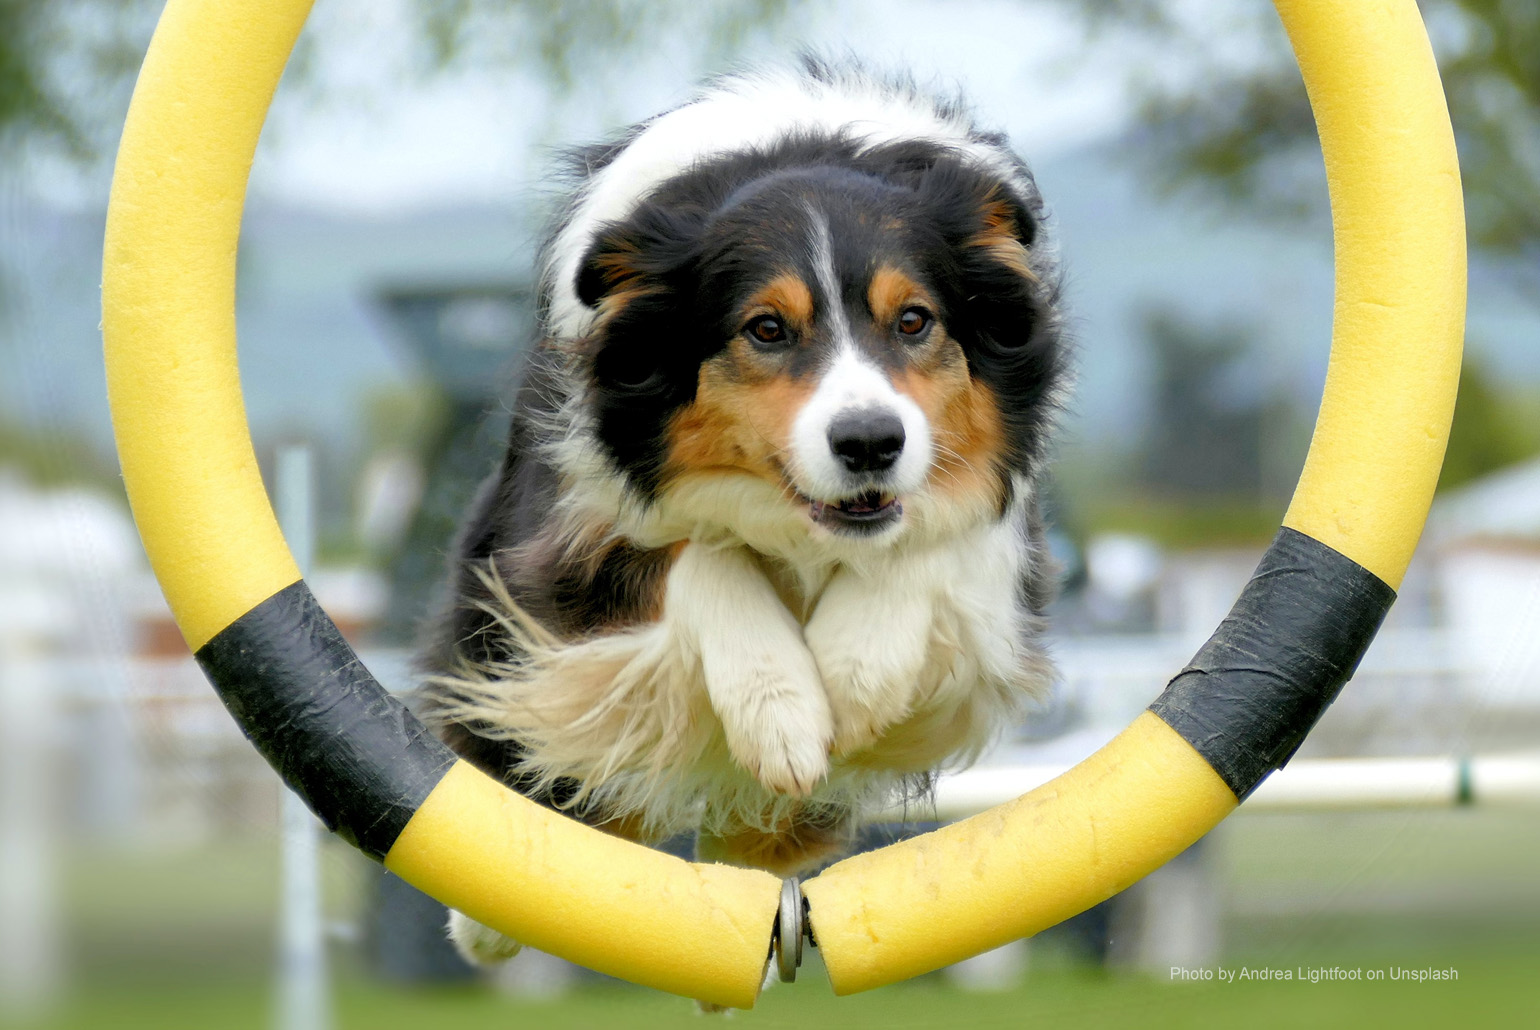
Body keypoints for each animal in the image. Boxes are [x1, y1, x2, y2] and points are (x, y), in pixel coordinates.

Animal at [418, 60, 1071, 966]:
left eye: (915, 321)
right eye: (765, 330)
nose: (870, 443)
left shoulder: (1002, 538)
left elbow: (935, 538)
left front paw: (850, 675)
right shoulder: (570, 524)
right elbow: (698, 554)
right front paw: (784, 712)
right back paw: (486, 918)